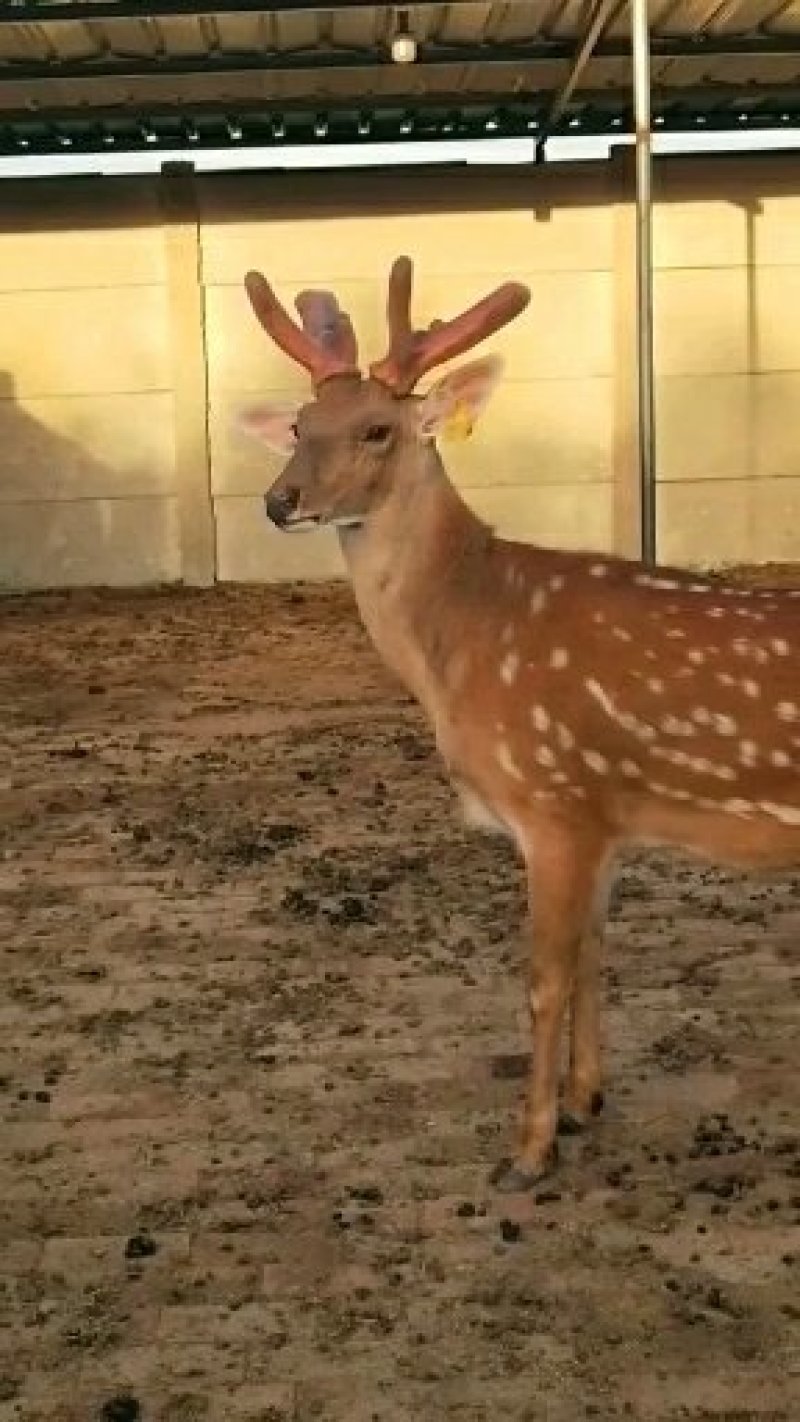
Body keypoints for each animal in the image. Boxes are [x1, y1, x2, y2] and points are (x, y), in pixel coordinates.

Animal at [239, 256, 800, 1192]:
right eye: (299, 424)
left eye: (378, 430)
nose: (281, 502)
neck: (466, 640)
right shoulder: (603, 817)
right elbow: (593, 959)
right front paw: (584, 1102)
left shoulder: (551, 800)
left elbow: (541, 980)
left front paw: (529, 1150)